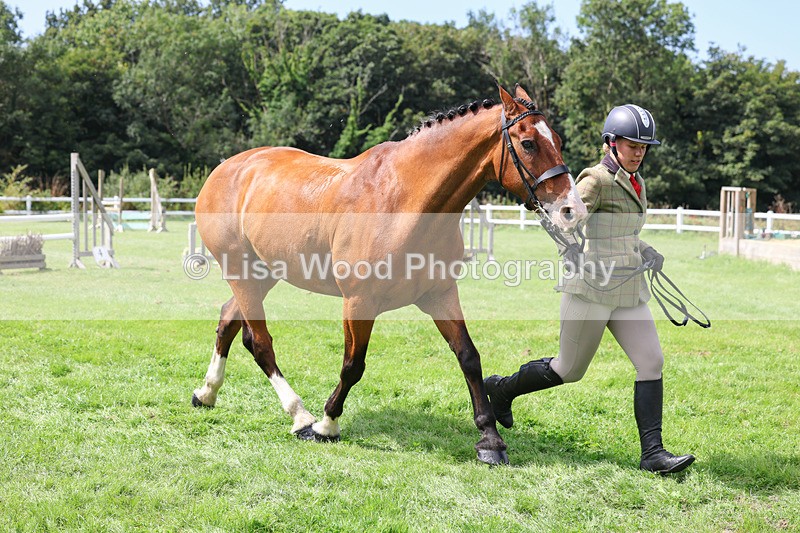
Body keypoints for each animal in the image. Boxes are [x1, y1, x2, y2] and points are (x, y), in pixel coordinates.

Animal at [191, 84, 587, 465]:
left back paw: (206, 393)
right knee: (259, 342)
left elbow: (469, 358)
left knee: (228, 321)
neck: (404, 202)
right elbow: (353, 365)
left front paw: (490, 440)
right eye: (528, 143)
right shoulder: (358, 303)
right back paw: (299, 416)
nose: (573, 210)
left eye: (557, 139)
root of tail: (227, 168)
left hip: (263, 273)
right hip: (242, 272)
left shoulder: (440, 296)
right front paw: (326, 425)